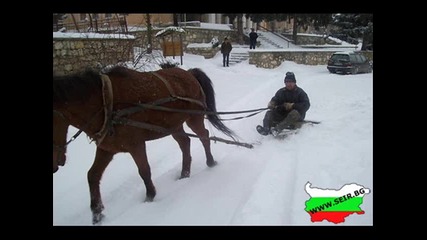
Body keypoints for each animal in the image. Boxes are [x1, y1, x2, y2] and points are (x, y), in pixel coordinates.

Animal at [53, 64, 237, 224]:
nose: (55, 166)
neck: (107, 104)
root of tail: (189, 73)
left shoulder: (136, 145)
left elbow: (144, 171)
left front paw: (150, 196)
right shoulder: (107, 149)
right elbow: (92, 176)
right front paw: (97, 214)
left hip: (194, 117)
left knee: (204, 136)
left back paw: (210, 162)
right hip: (173, 125)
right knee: (185, 142)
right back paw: (185, 173)